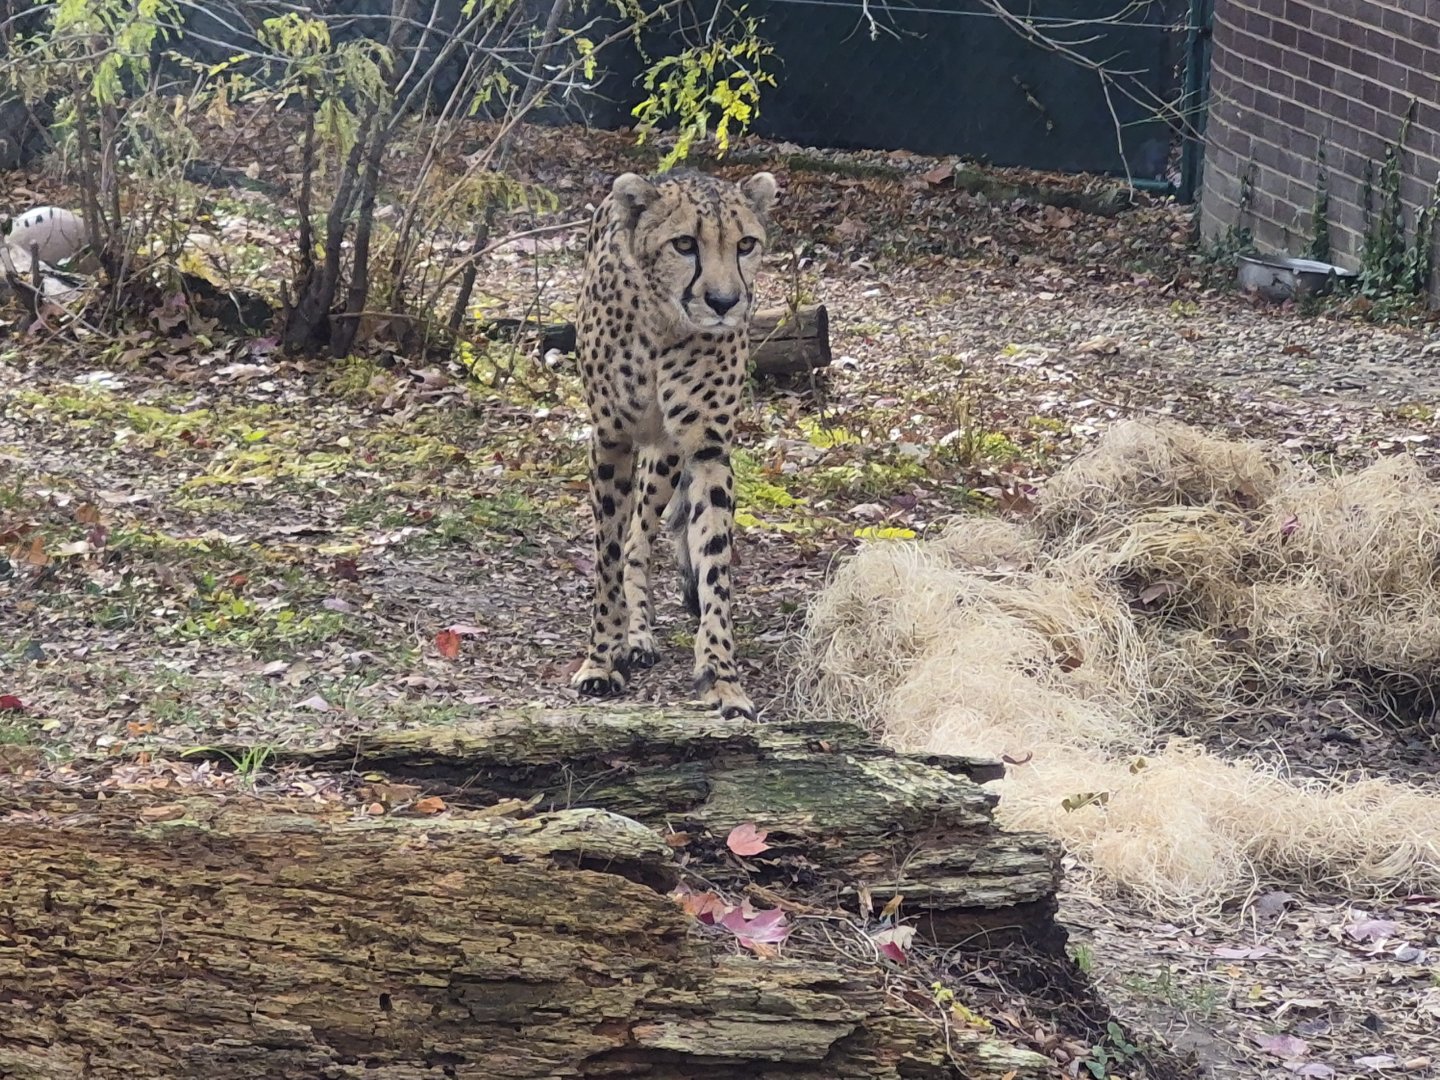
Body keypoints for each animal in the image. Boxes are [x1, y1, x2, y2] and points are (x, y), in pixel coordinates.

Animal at [569, 167, 778, 721]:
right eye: (684, 244)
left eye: (745, 244)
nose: (725, 303)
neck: (664, 325)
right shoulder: (612, 439)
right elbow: (607, 555)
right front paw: (602, 659)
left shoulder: (707, 449)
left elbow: (714, 563)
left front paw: (722, 677)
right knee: (630, 540)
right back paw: (633, 636)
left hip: (666, 452)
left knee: (643, 536)